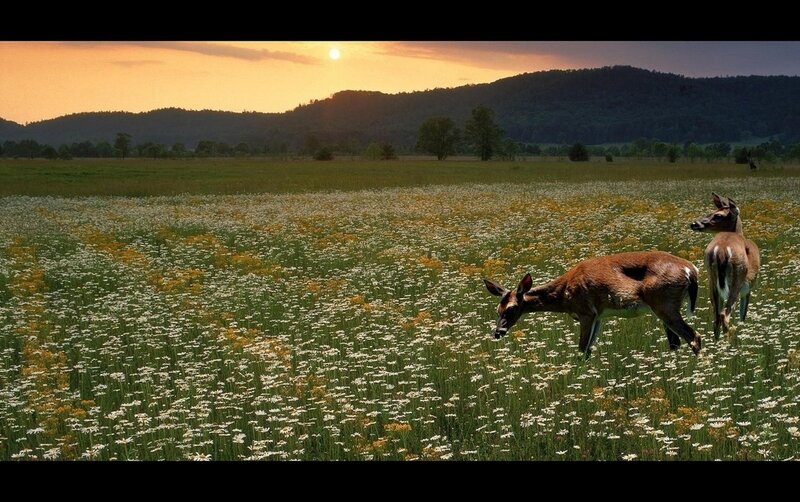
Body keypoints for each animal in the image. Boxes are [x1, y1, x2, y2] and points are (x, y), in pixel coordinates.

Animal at [484, 251, 701, 359]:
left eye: (511, 308)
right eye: (497, 309)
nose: (498, 332)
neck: (563, 292)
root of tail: (690, 270)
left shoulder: (586, 312)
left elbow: (582, 349)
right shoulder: (599, 316)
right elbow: (589, 349)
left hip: (665, 305)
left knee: (694, 337)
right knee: (675, 342)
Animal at [690, 193, 760, 338]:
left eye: (717, 215)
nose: (694, 224)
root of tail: (721, 250)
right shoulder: (749, 287)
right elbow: (743, 315)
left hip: (712, 279)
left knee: (716, 316)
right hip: (737, 279)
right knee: (724, 314)